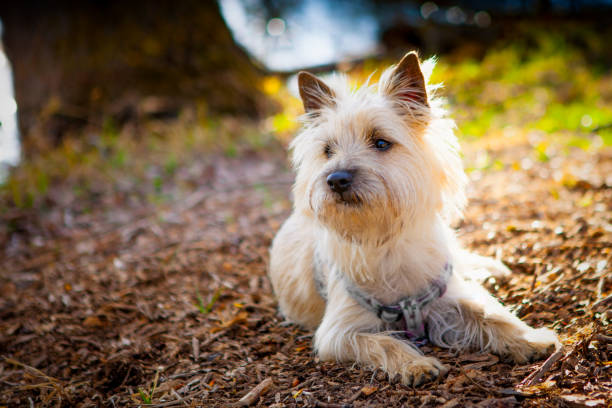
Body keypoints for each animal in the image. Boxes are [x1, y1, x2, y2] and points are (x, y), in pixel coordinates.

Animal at [268, 51, 560, 386]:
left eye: (381, 142)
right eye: (327, 150)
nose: (336, 179)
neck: (386, 239)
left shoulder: (444, 297)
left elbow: (489, 314)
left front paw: (530, 339)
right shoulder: (338, 332)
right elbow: (382, 343)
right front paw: (415, 365)